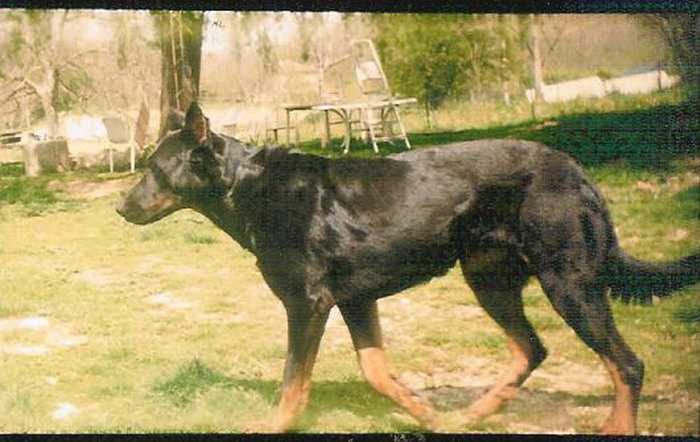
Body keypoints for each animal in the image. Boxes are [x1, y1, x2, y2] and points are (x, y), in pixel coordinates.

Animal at [117, 102, 699, 434]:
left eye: (154, 169)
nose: (120, 208)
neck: (246, 185)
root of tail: (578, 173)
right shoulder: (354, 301)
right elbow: (377, 373)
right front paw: (426, 414)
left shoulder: (308, 304)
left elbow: (292, 383)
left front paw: (272, 425)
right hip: (489, 278)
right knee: (532, 348)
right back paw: (473, 415)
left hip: (569, 284)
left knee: (627, 365)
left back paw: (615, 427)